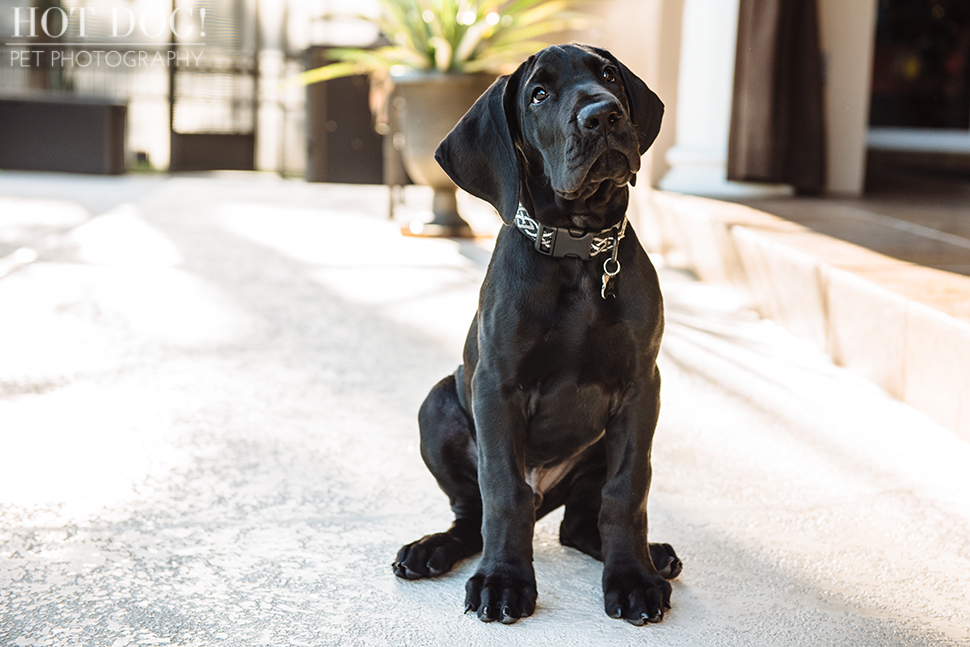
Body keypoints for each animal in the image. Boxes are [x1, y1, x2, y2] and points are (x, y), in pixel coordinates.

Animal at [392, 43, 680, 624]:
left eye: (608, 74)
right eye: (539, 94)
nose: (603, 115)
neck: (579, 248)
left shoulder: (643, 385)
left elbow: (627, 492)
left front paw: (633, 579)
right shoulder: (497, 386)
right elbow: (504, 494)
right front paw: (503, 582)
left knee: (577, 525)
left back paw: (653, 556)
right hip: (438, 403)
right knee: (473, 516)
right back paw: (432, 549)